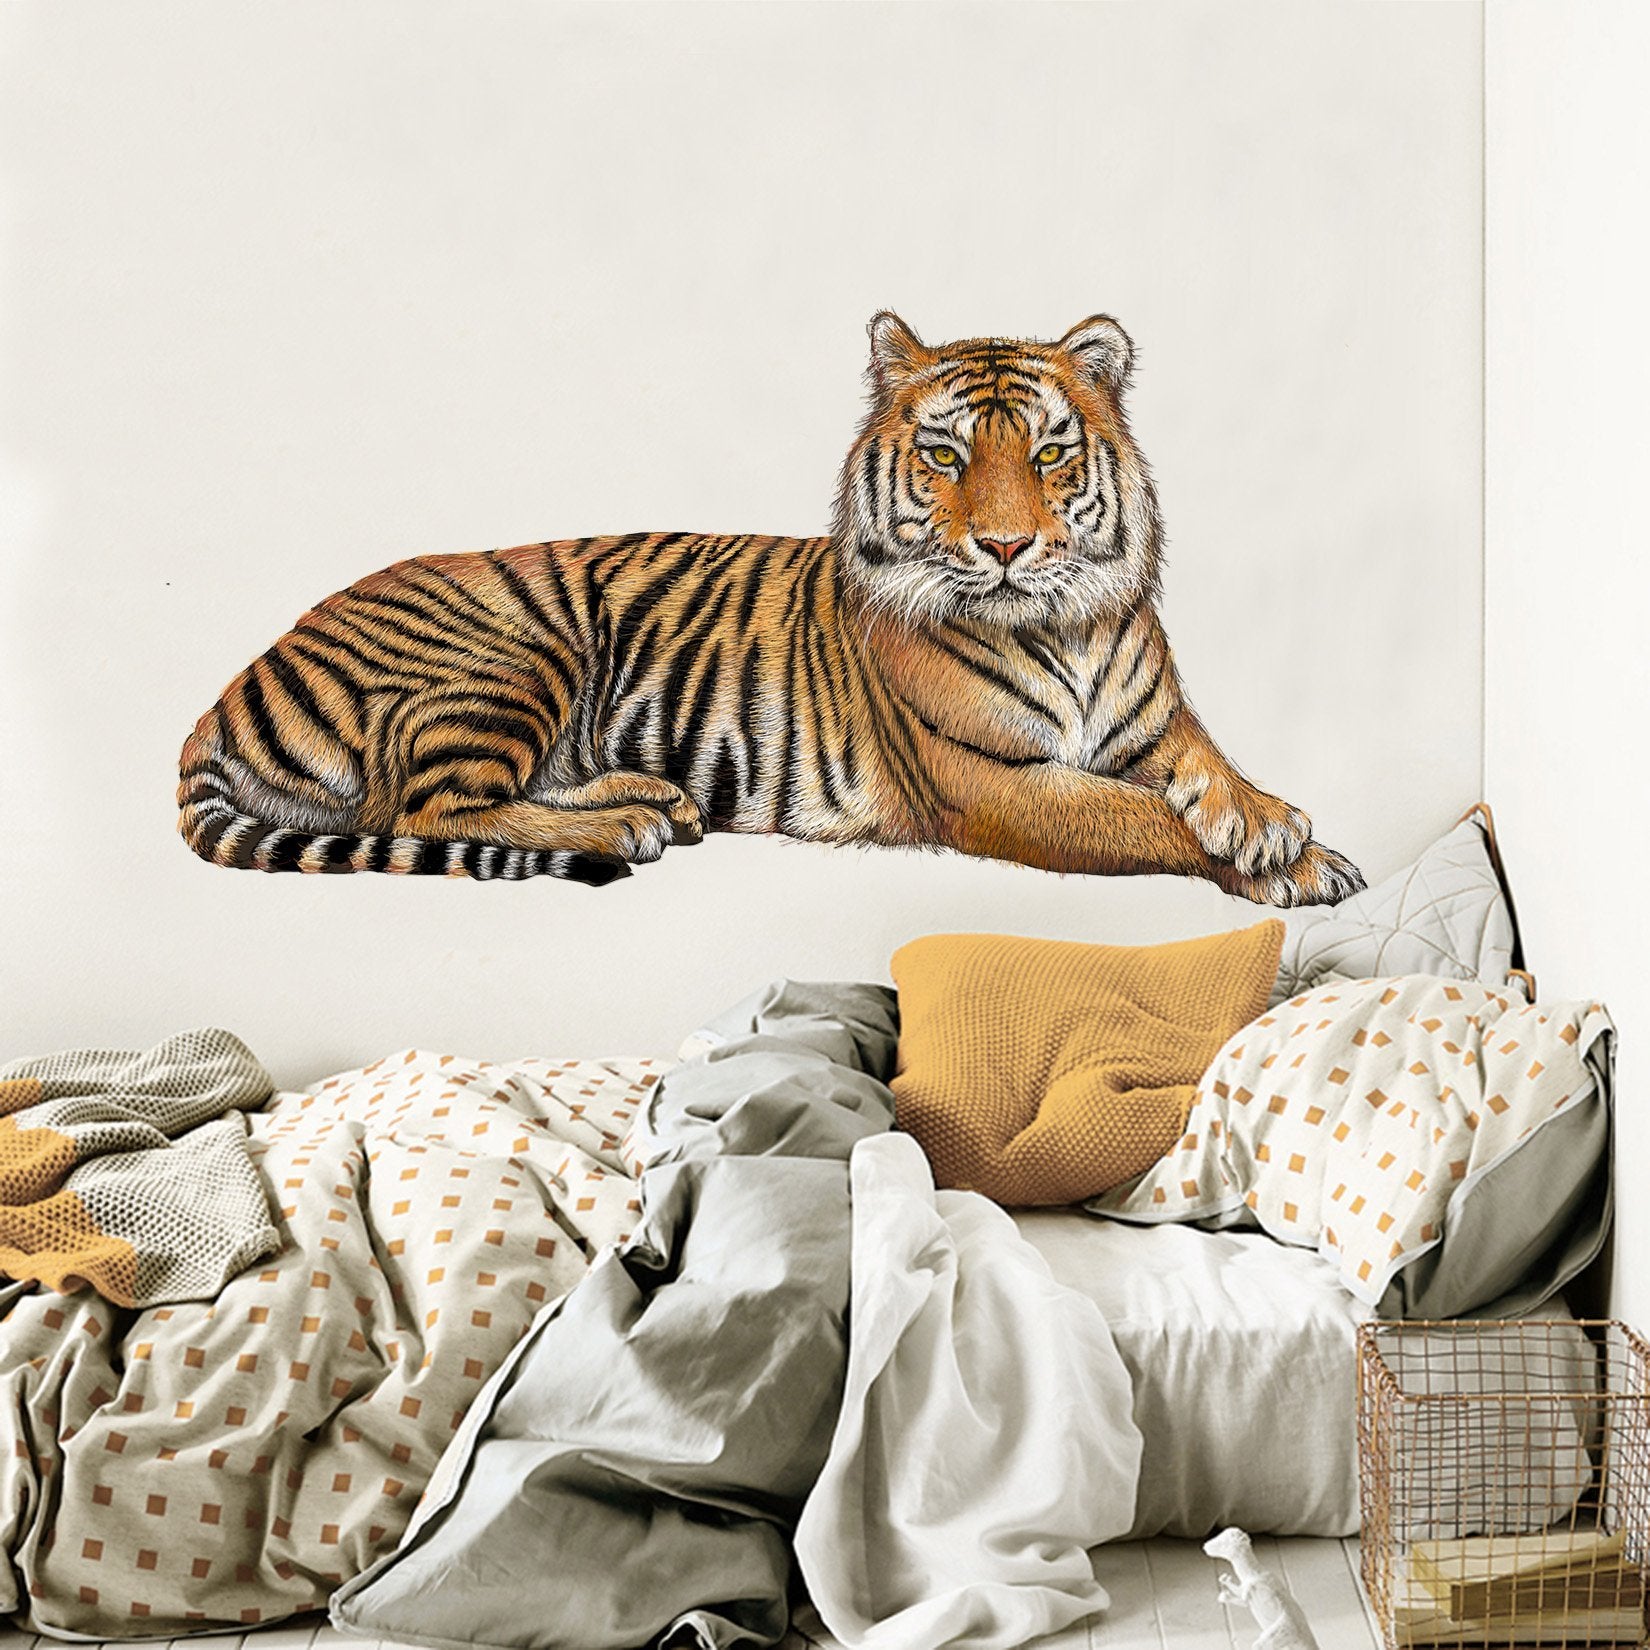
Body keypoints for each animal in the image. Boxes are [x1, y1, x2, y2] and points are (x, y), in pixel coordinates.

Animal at [177, 312, 1364, 906]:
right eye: (945, 457)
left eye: (1047, 454)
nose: (1007, 546)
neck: (1066, 624)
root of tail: (227, 690)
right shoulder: (992, 783)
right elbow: (1140, 817)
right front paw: (1283, 860)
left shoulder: (1159, 725)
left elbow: (1206, 766)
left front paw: (1280, 831)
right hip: (511, 653)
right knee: (428, 808)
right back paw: (625, 824)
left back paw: (654, 797)